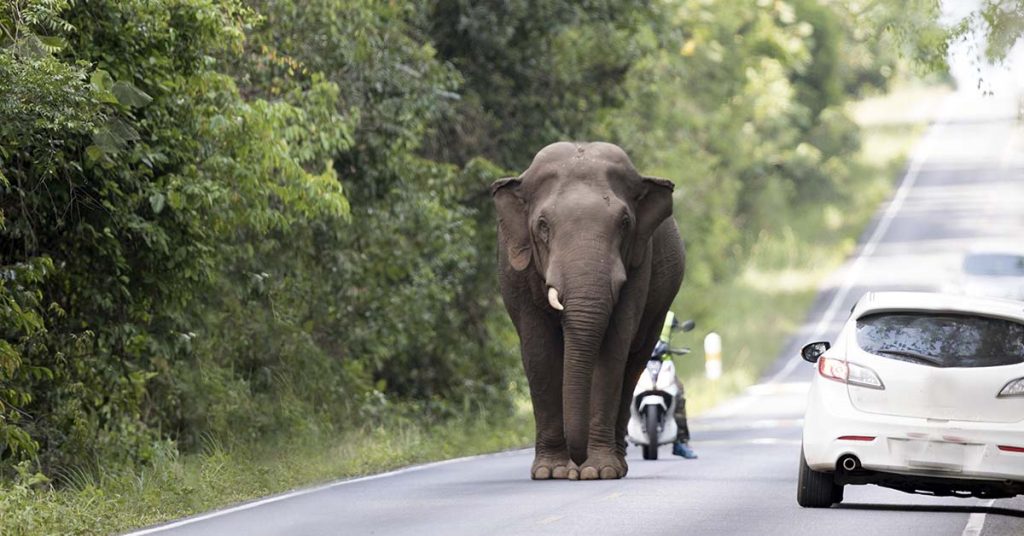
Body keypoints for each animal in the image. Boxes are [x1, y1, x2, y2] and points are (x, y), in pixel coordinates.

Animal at [492, 141, 685, 480]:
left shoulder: (640, 263)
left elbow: (612, 351)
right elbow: (539, 352)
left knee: (633, 365)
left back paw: (616, 466)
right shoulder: (515, 271)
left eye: (625, 223)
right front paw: (550, 472)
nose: (577, 463)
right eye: (543, 226)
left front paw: (599, 471)